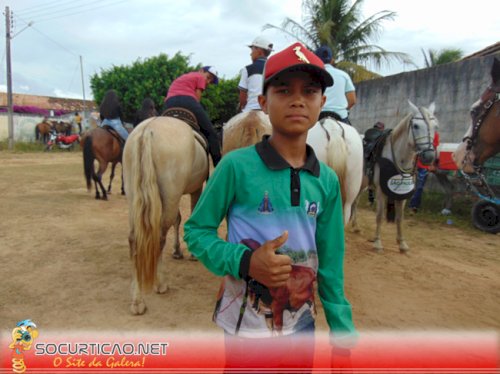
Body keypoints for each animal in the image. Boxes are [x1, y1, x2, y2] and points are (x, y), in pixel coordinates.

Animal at [123, 115, 209, 314]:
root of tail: (148, 130)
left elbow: (178, 219)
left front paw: (177, 251)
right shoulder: (195, 190)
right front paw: (192, 253)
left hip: (135, 196)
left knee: (134, 239)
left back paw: (137, 299)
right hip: (171, 193)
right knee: (159, 237)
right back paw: (160, 283)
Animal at [370, 99, 436, 253]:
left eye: (435, 126)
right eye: (416, 126)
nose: (429, 156)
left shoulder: (402, 194)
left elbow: (400, 218)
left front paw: (402, 243)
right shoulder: (381, 190)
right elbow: (379, 216)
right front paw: (377, 242)